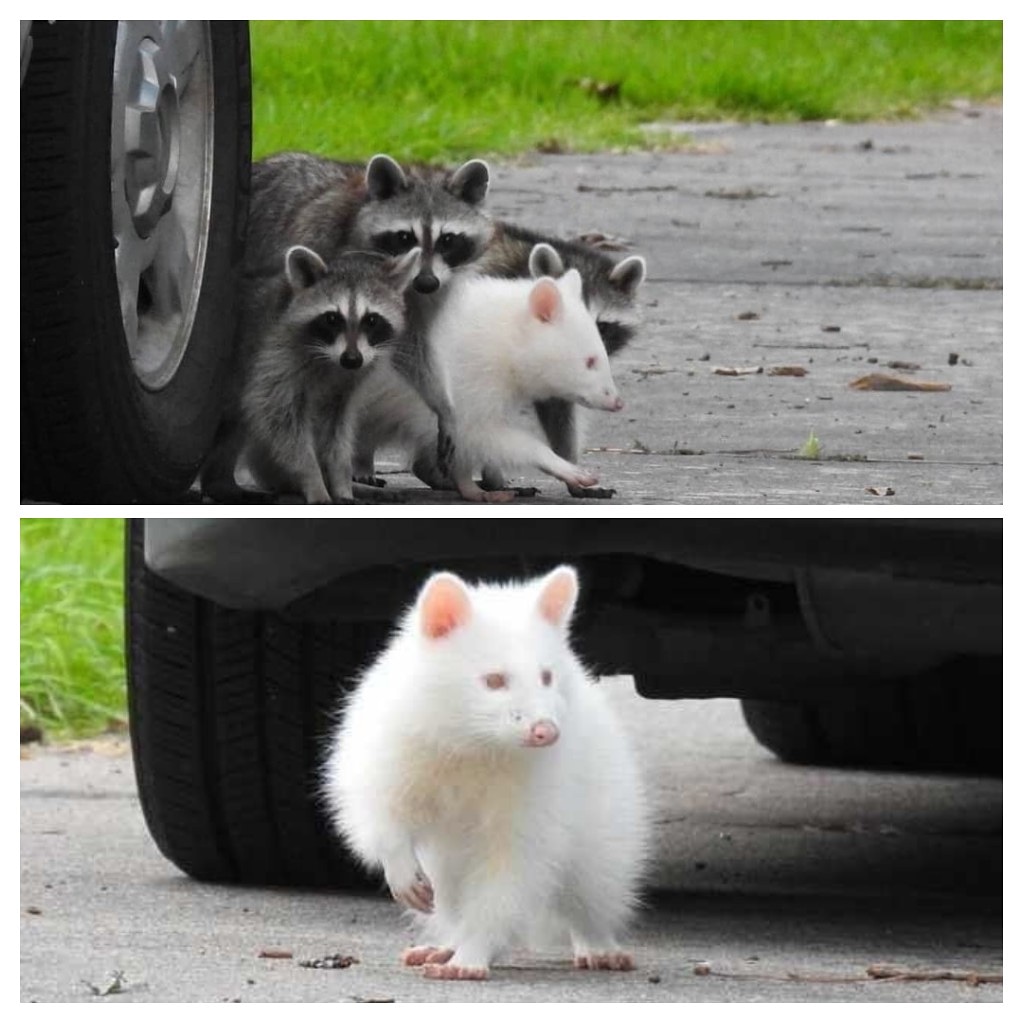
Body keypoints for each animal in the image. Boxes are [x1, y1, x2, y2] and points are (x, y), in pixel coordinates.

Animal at [201, 244, 417, 507]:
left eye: (372, 320)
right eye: (332, 318)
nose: (351, 359)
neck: (332, 360)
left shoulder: (352, 378)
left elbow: (337, 428)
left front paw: (340, 480)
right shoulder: (275, 356)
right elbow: (277, 416)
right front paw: (312, 480)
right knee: (236, 419)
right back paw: (221, 482)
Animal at [319, 565, 647, 978]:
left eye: (547, 676)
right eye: (494, 680)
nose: (545, 731)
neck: (476, 741)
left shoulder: (539, 789)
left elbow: (510, 873)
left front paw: (473, 952)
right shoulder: (395, 741)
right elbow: (376, 810)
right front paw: (399, 865)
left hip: (602, 804)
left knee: (595, 879)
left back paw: (596, 939)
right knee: (449, 889)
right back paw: (445, 941)